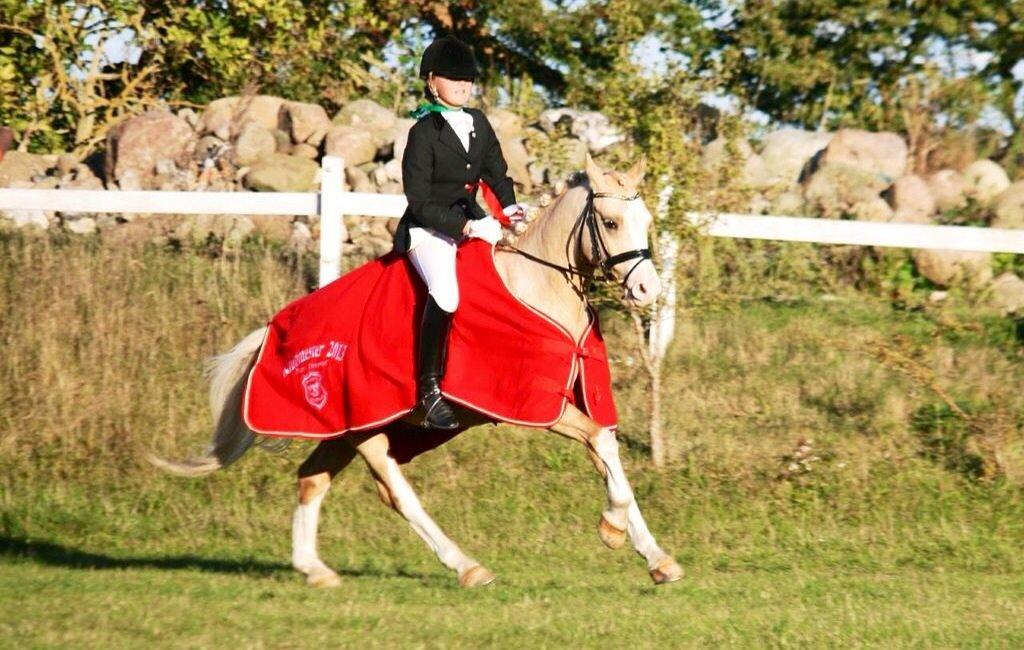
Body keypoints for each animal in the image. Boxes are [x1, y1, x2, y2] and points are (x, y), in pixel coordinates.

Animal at [154, 153, 684, 589]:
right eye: (610, 222)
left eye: (647, 221)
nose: (647, 290)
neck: (535, 287)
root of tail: (274, 328)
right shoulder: (538, 405)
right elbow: (603, 446)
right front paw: (612, 529)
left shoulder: (572, 400)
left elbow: (608, 455)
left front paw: (657, 559)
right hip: (366, 427)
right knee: (395, 492)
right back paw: (466, 566)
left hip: (346, 429)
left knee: (311, 480)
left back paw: (315, 570)